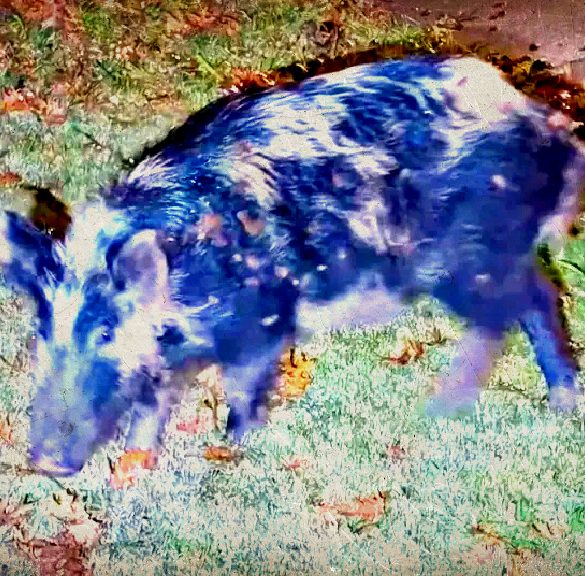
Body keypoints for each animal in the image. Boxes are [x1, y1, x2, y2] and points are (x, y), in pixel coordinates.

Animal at [1, 55, 584, 477]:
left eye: (105, 333)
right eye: (42, 332)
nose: (46, 462)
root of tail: (545, 122)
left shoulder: (265, 319)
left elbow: (242, 384)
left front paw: (235, 447)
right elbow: (151, 401)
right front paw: (133, 470)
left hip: (469, 256)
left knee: (517, 309)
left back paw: (455, 407)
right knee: (533, 296)